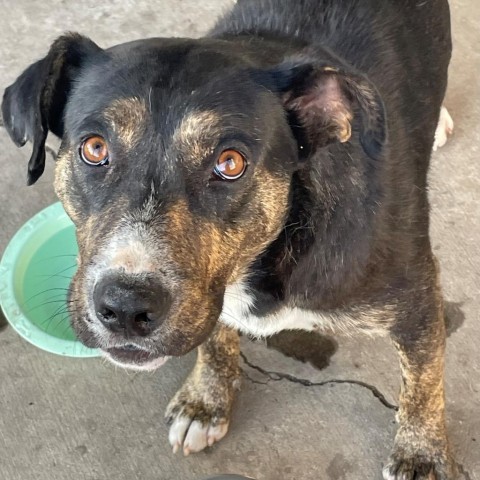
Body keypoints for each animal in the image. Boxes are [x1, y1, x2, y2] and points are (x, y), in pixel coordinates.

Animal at [1, 0, 456, 478]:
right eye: (94, 148)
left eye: (230, 162)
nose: (125, 307)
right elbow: (216, 338)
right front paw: (206, 402)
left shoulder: (418, 304)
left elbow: (424, 383)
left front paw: (422, 453)